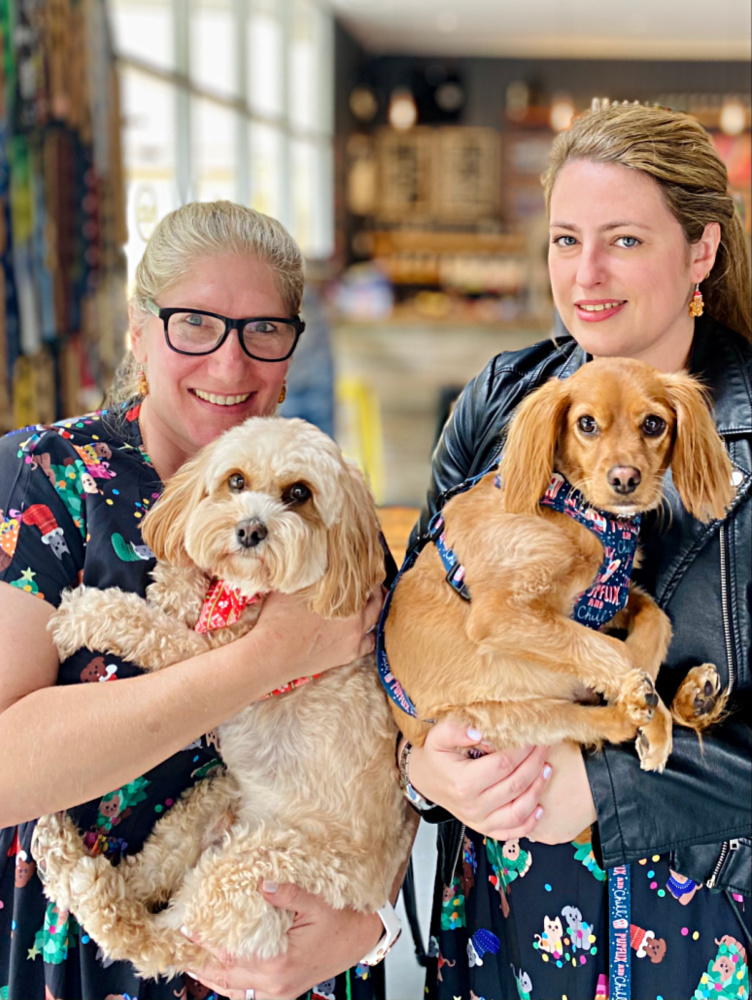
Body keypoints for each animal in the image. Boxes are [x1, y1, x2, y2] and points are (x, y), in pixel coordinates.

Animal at [30, 418, 412, 980]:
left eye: (299, 494)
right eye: (235, 481)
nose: (250, 530)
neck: (250, 591)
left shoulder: (209, 654)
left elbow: (147, 626)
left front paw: (86, 614)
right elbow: (181, 575)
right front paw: (175, 578)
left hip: (259, 864)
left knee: (150, 941)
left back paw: (75, 870)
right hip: (212, 800)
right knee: (146, 878)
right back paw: (78, 861)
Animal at [382, 360, 736, 772]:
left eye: (653, 424)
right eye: (586, 423)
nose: (625, 479)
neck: (576, 507)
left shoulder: (604, 598)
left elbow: (656, 618)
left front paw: (645, 684)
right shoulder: (501, 613)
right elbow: (599, 645)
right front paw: (650, 709)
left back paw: (696, 697)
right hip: (507, 718)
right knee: (592, 723)